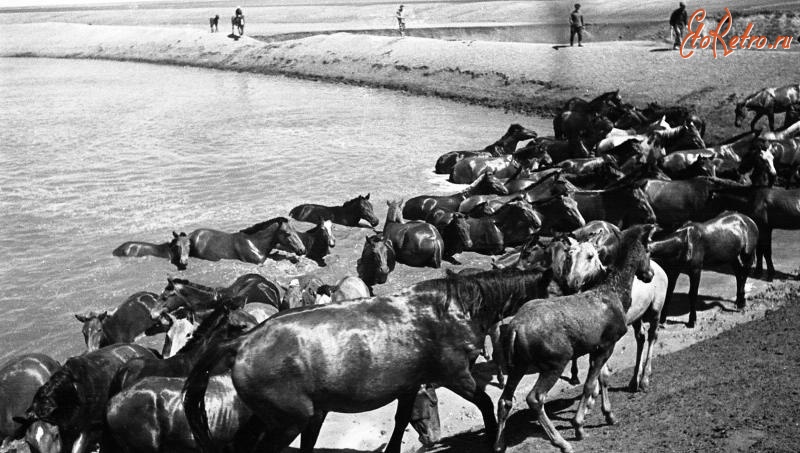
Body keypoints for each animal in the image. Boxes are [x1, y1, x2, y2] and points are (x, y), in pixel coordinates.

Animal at [184, 264, 552, 452]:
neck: (454, 307)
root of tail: (243, 341)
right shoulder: (456, 374)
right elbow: (486, 403)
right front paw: (492, 437)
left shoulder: (410, 384)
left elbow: (401, 420)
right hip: (288, 421)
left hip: (275, 417)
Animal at [494, 222, 656, 452]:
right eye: (648, 250)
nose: (650, 274)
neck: (616, 294)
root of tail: (515, 328)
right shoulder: (606, 345)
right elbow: (589, 384)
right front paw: (579, 426)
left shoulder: (595, 348)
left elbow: (601, 378)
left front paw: (608, 415)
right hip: (554, 363)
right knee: (535, 398)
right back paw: (561, 442)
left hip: (519, 365)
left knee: (505, 400)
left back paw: (499, 444)